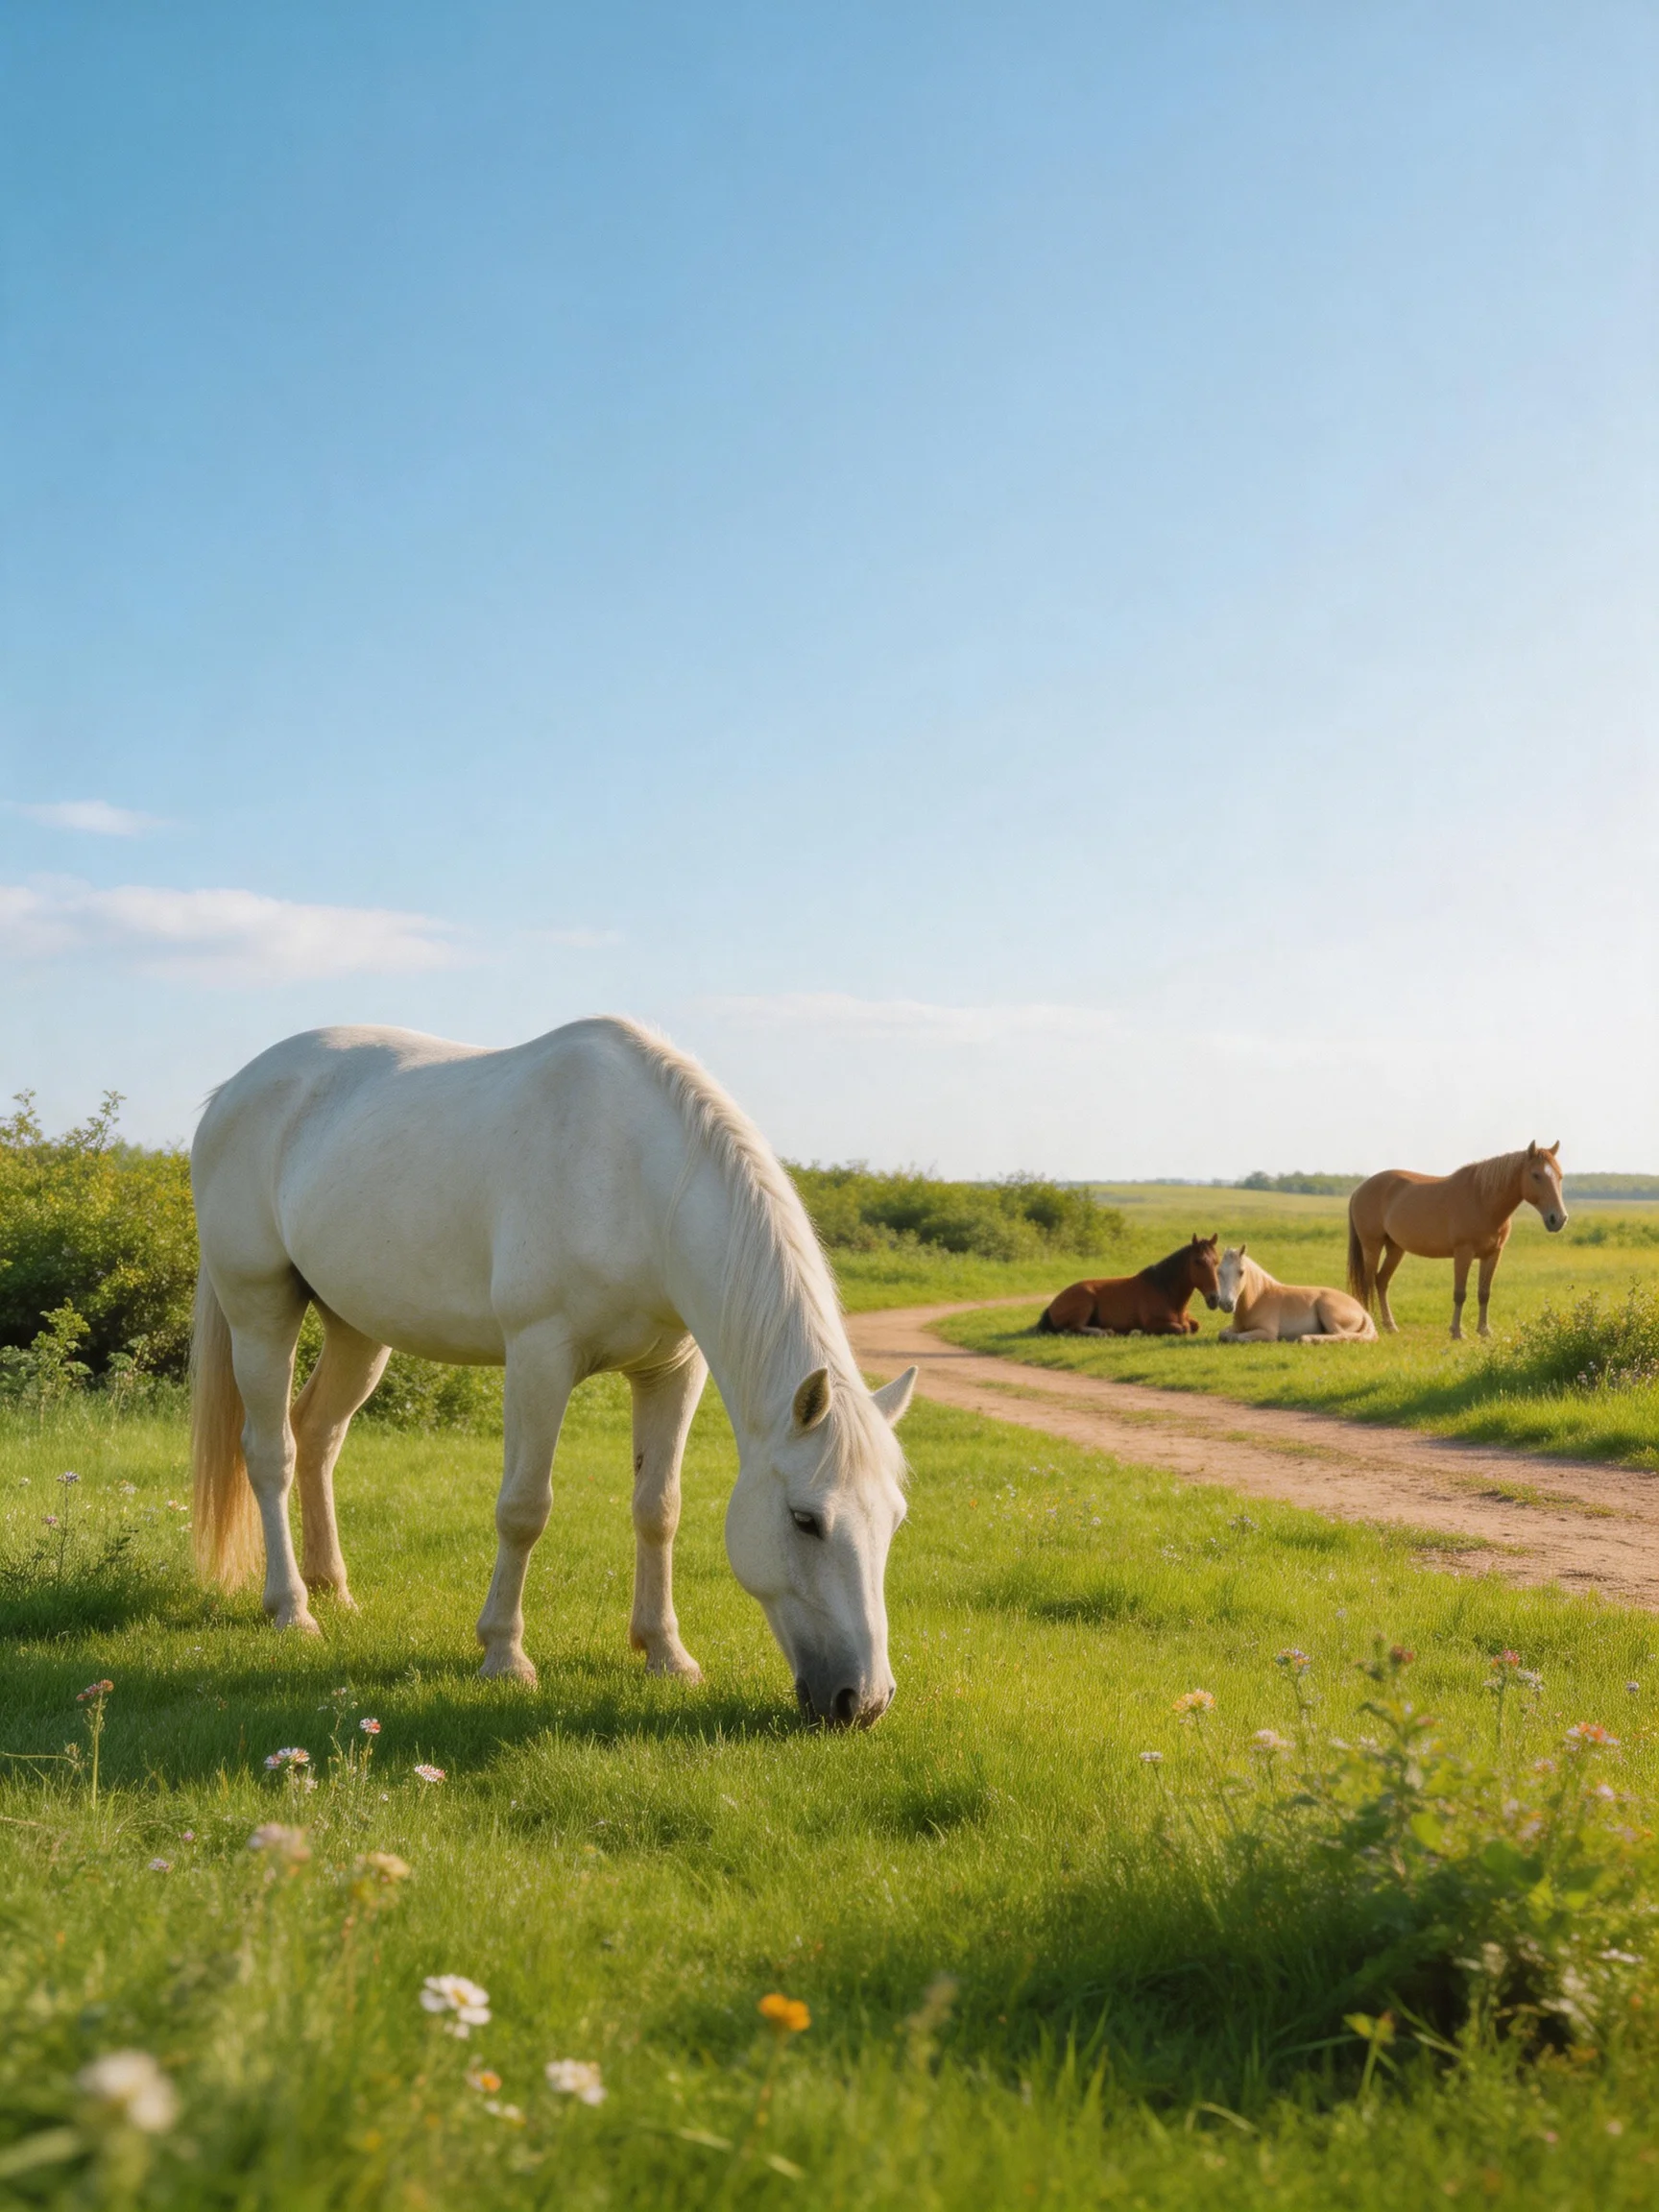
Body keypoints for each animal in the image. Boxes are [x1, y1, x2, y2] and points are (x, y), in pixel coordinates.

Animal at [189, 1018, 918, 1729]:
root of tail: (229, 1093)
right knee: (272, 1454)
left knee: (318, 1437)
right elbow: (524, 1509)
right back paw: (291, 1610)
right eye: (804, 1519)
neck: (635, 1173)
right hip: (259, 1308)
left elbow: (659, 1508)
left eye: (895, 1522)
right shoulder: (540, 1356)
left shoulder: (672, 1370)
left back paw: (333, 1590)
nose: (863, 1700)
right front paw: (505, 1656)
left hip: (357, 1330)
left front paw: (666, 1653)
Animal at [1037, 1235, 1221, 1336]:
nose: (1214, 1298)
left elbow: (1194, 1326)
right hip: (1086, 1302)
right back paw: (1106, 1332)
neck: (1165, 1291)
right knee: (1073, 1328)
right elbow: (1183, 1329)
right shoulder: (1156, 1324)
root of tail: (1052, 1305)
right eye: (1198, 1261)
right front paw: (1138, 1331)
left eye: (1216, 1261)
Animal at [1215, 1245, 1377, 1343]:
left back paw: (1307, 1339)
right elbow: (1223, 1334)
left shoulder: (1267, 1333)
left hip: (1328, 1312)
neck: (1257, 1299)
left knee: (1343, 1336)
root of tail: (1362, 1310)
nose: (1226, 1304)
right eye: (1219, 1271)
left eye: (1241, 1272)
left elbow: (1239, 1337)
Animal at [1347, 1142, 1567, 1340]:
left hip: (1395, 1248)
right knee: (1368, 1283)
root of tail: (1359, 1189)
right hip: (1372, 1245)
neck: (1482, 1200)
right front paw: (1457, 1332)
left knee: (1381, 1281)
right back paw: (1372, 1325)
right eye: (1536, 1175)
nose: (1558, 1219)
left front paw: (1484, 1331)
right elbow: (1460, 1293)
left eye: (1559, 1176)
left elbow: (1484, 1292)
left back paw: (1390, 1326)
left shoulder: (1492, 1254)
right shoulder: (1463, 1253)